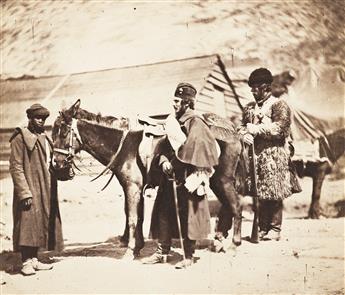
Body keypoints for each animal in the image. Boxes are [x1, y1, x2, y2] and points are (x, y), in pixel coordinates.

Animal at [51, 99, 245, 260]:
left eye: (63, 132)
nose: (56, 165)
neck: (123, 145)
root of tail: (232, 131)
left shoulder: (132, 187)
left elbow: (132, 218)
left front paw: (129, 250)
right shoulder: (136, 188)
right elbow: (138, 216)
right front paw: (137, 246)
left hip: (222, 180)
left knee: (236, 206)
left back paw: (234, 245)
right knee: (229, 207)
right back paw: (218, 242)